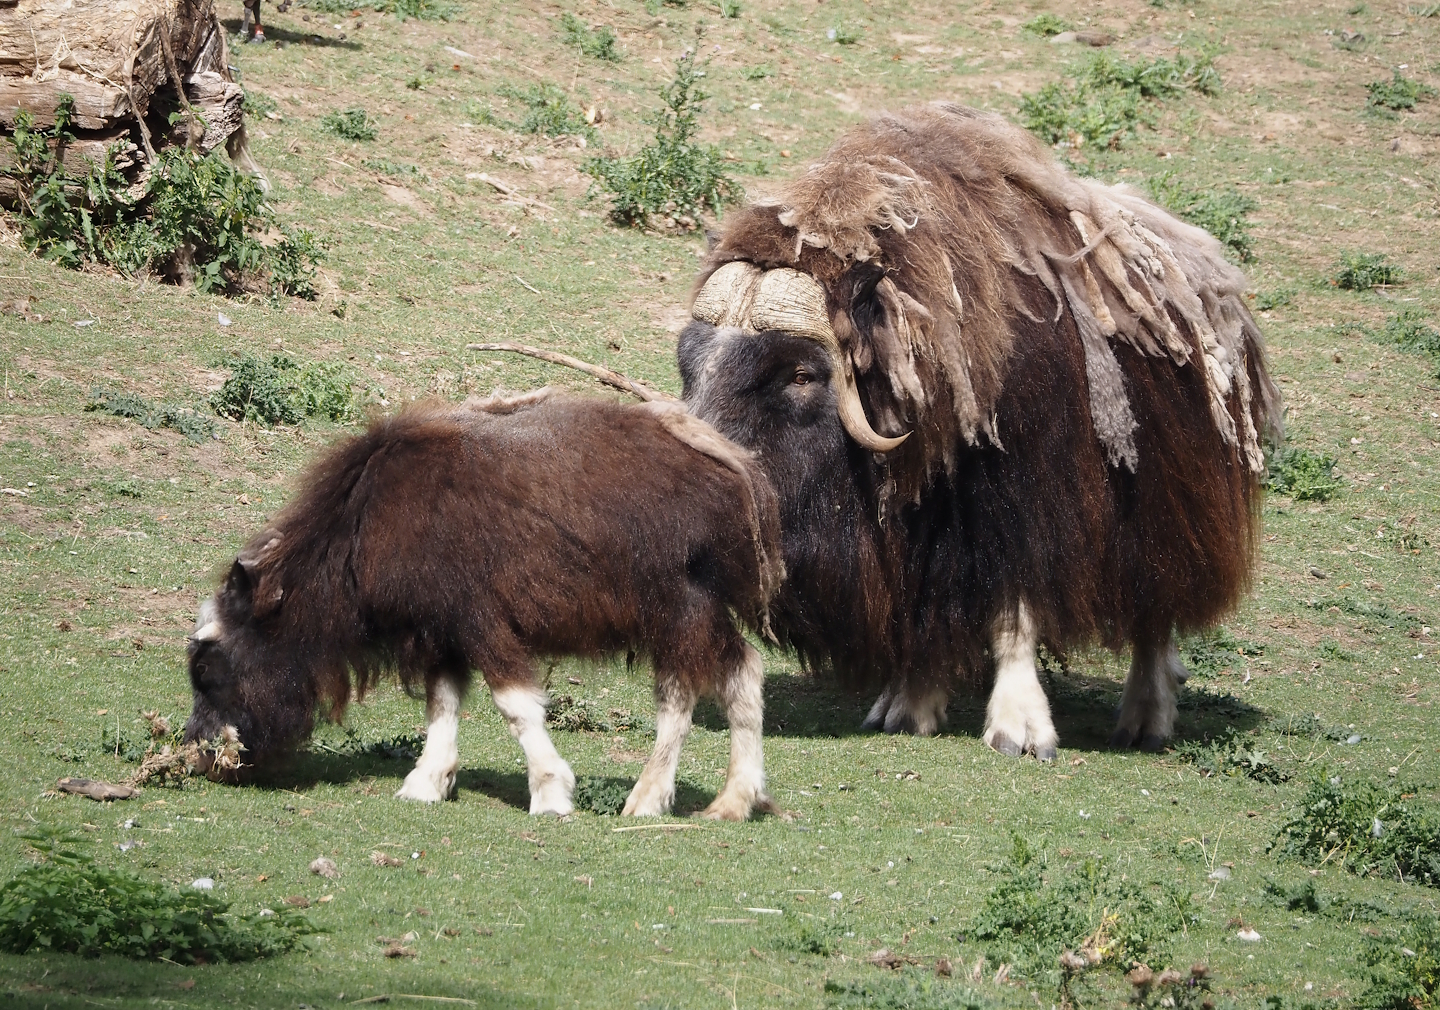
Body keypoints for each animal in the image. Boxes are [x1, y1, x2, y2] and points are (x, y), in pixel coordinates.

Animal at [182, 390, 784, 820]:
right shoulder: (440, 633)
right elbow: (442, 704)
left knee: (680, 696)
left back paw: (646, 799)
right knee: (743, 673)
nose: (201, 755)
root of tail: (735, 466)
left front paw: (550, 794)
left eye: (208, 666)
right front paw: (425, 784)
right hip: (699, 614)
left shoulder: (479, 621)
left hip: (678, 609)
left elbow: (514, 704)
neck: (356, 534)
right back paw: (732, 804)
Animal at [678, 103, 1282, 757]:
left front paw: (1020, 729)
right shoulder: (918, 536)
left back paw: (1145, 719)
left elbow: (1013, 612)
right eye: (690, 363)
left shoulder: (1023, 508)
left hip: (1167, 515)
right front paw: (907, 706)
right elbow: (922, 613)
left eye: (800, 375)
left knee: (1154, 613)